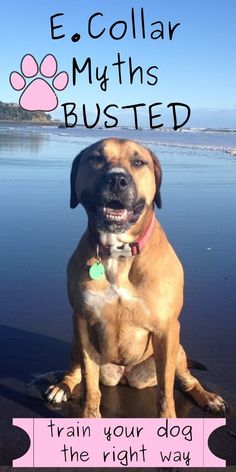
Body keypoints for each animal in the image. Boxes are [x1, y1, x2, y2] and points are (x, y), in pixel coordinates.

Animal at [46, 136, 227, 416]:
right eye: (96, 158)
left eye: (139, 162)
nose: (117, 179)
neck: (118, 251)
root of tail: (124, 376)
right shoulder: (82, 322)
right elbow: (91, 385)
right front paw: (89, 415)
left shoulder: (167, 329)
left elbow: (165, 393)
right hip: (75, 340)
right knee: (77, 371)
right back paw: (62, 385)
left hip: (178, 350)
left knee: (186, 379)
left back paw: (207, 396)